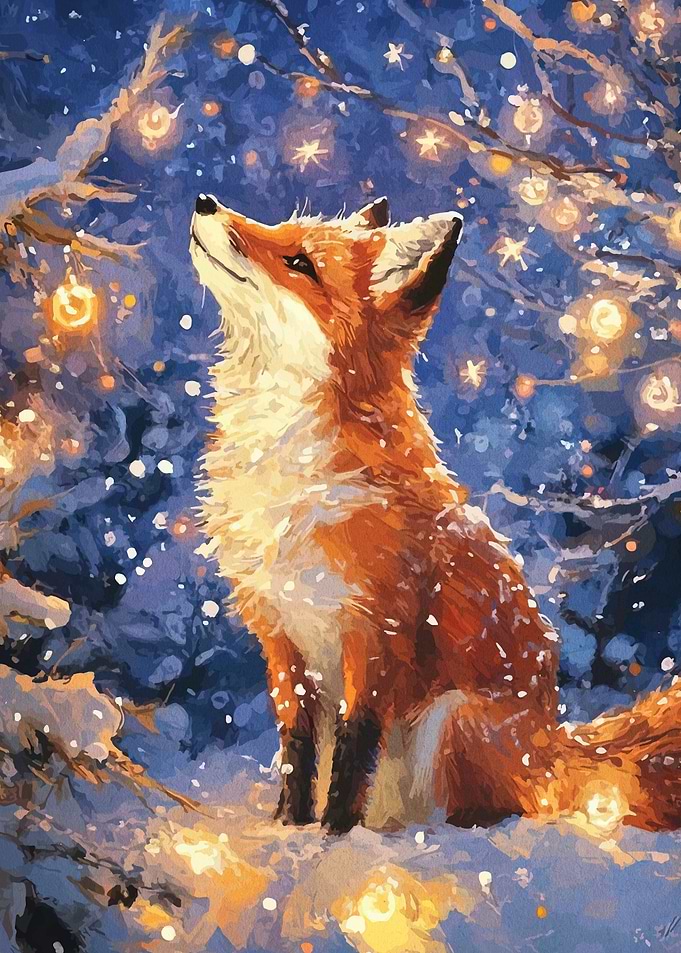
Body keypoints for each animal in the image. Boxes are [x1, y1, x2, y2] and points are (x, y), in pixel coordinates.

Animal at [190, 192, 681, 835]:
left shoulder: (375, 632)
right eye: (279, 230)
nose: (205, 201)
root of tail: (551, 749)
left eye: (300, 262)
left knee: (496, 811)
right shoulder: (280, 634)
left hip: (451, 723)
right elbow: (297, 750)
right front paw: (288, 831)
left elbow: (352, 748)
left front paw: (332, 836)